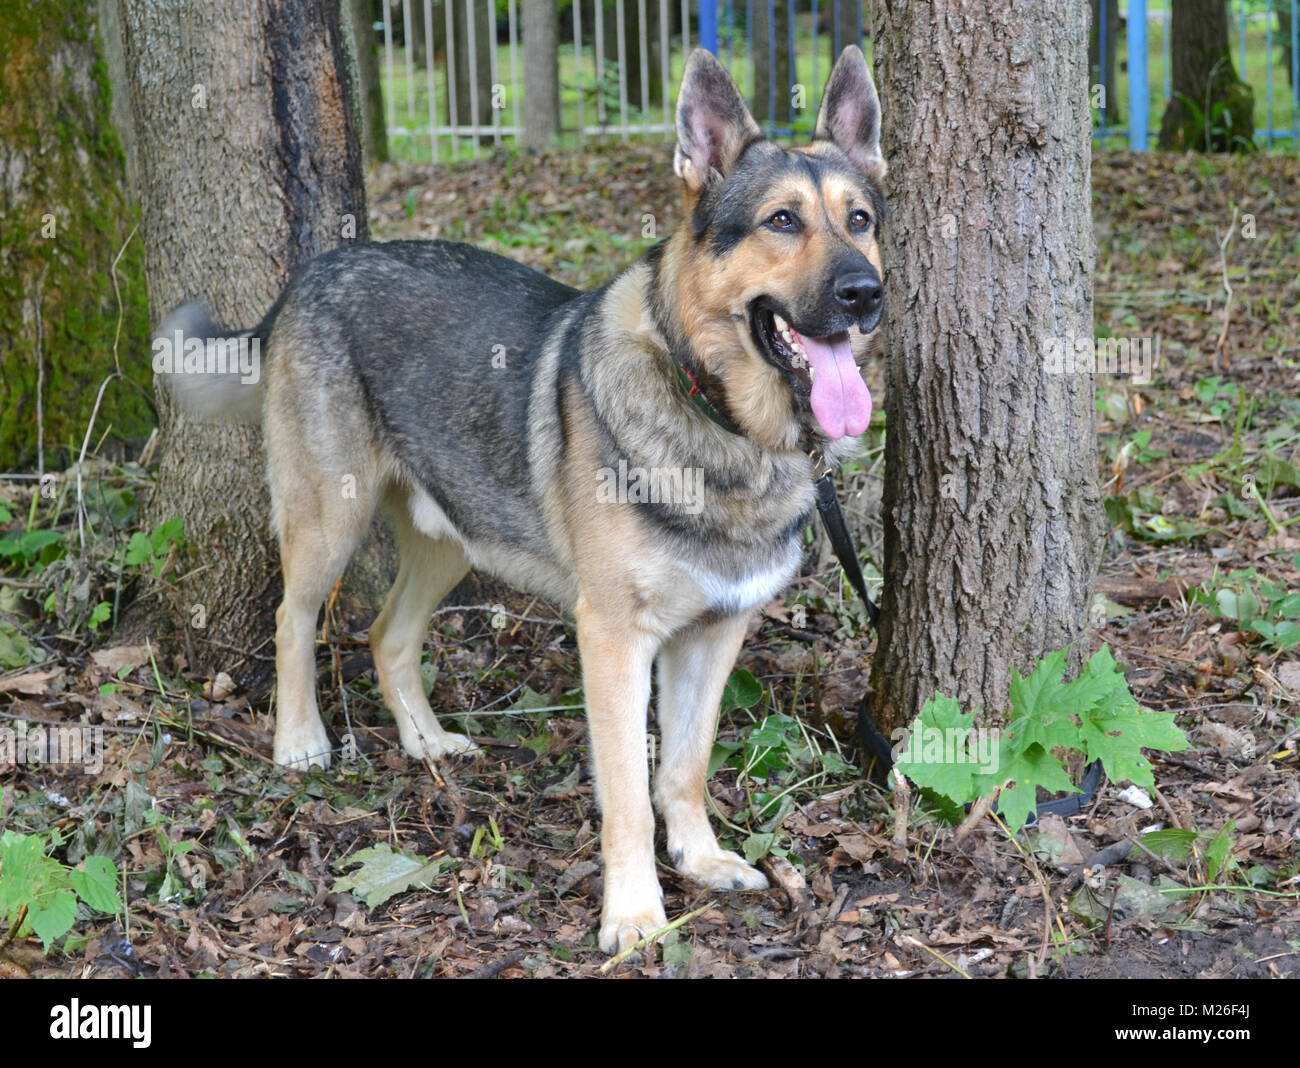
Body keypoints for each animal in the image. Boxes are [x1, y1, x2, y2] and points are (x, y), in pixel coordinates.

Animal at [152, 46, 883, 956]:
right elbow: (630, 797)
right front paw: (634, 914)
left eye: (860, 219)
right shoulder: (613, 641)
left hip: (451, 541)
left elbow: (684, 768)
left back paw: (426, 742)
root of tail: (311, 274)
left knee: (388, 635)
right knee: (295, 618)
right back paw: (300, 741)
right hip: (331, 520)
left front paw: (702, 859)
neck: (721, 419)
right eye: (782, 221)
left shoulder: (715, 636)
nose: (865, 293)